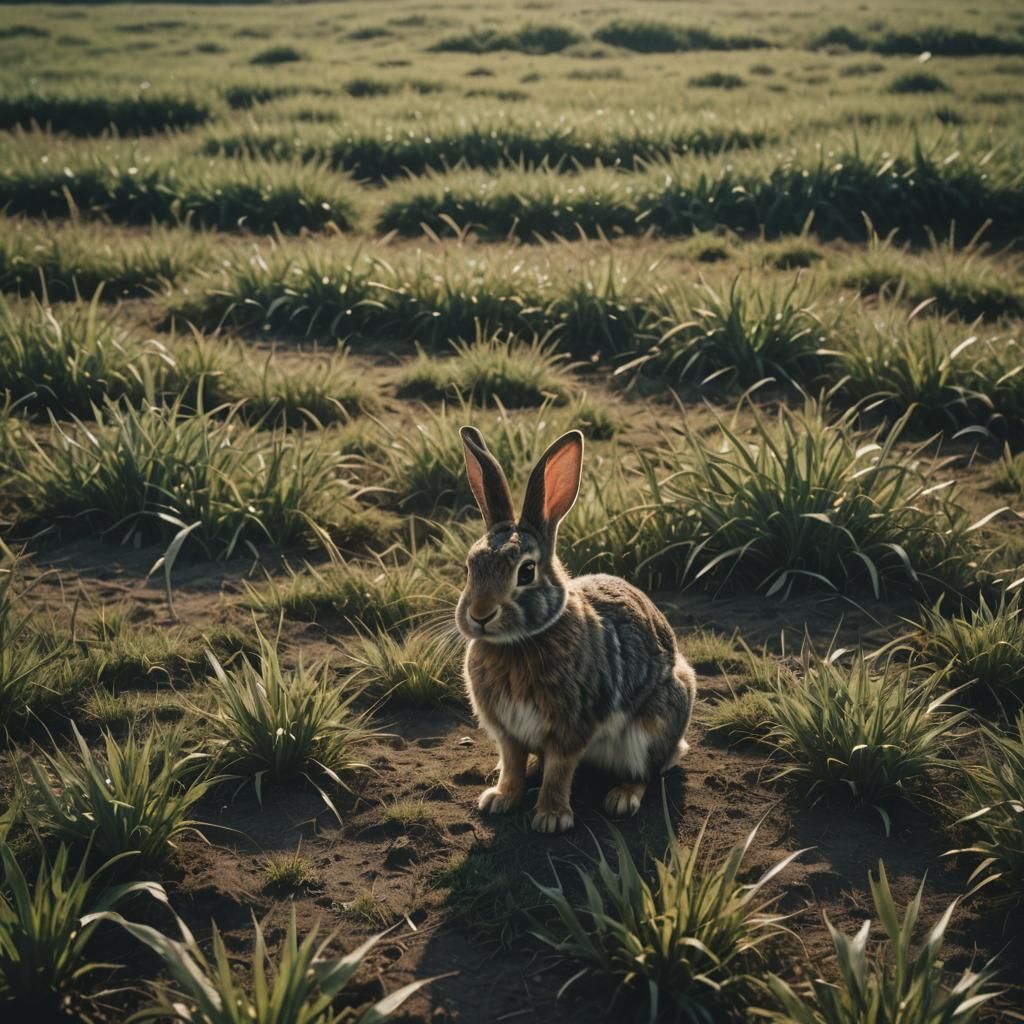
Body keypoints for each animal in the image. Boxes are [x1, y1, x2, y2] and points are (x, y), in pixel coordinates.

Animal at [455, 425, 696, 834]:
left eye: (526, 572)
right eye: (470, 566)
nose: (480, 614)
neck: (520, 642)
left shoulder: (572, 727)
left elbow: (559, 771)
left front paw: (551, 819)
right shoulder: (509, 732)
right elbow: (514, 764)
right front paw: (500, 798)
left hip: (652, 726)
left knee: (646, 771)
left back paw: (622, 798)